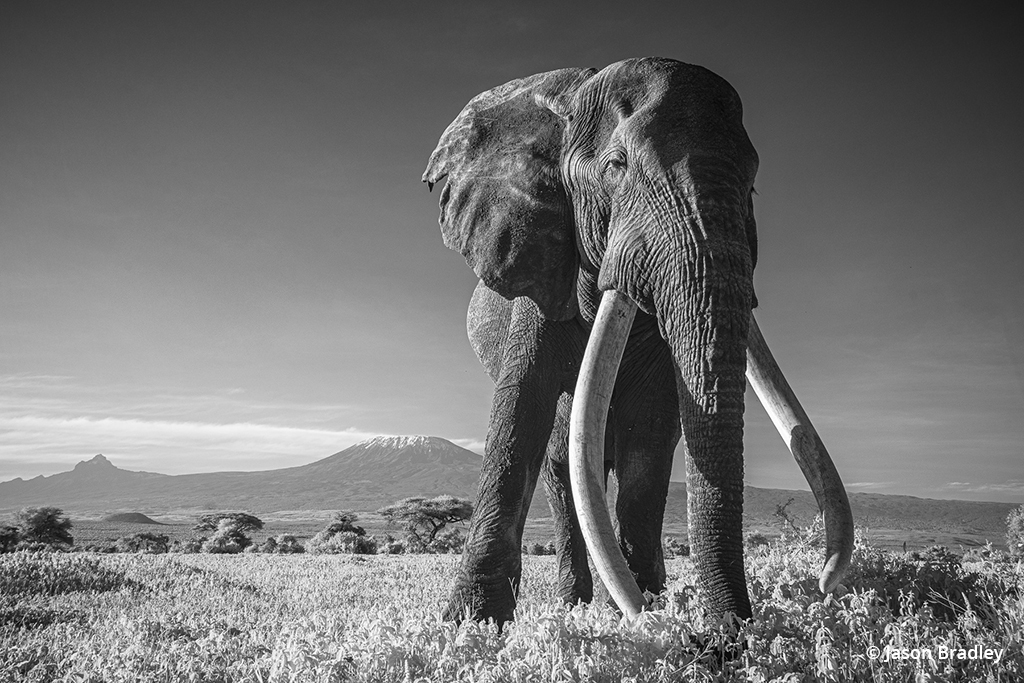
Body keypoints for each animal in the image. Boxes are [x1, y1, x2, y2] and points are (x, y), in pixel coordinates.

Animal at [423, 57, 856, 626]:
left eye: (754, 189)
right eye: (617, 165)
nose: (728, 634)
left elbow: (650, 432)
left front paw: (648, 608)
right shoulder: (540, 270)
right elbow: (522, 408)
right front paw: (472, 624)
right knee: (560, 468)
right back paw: (574, 605)